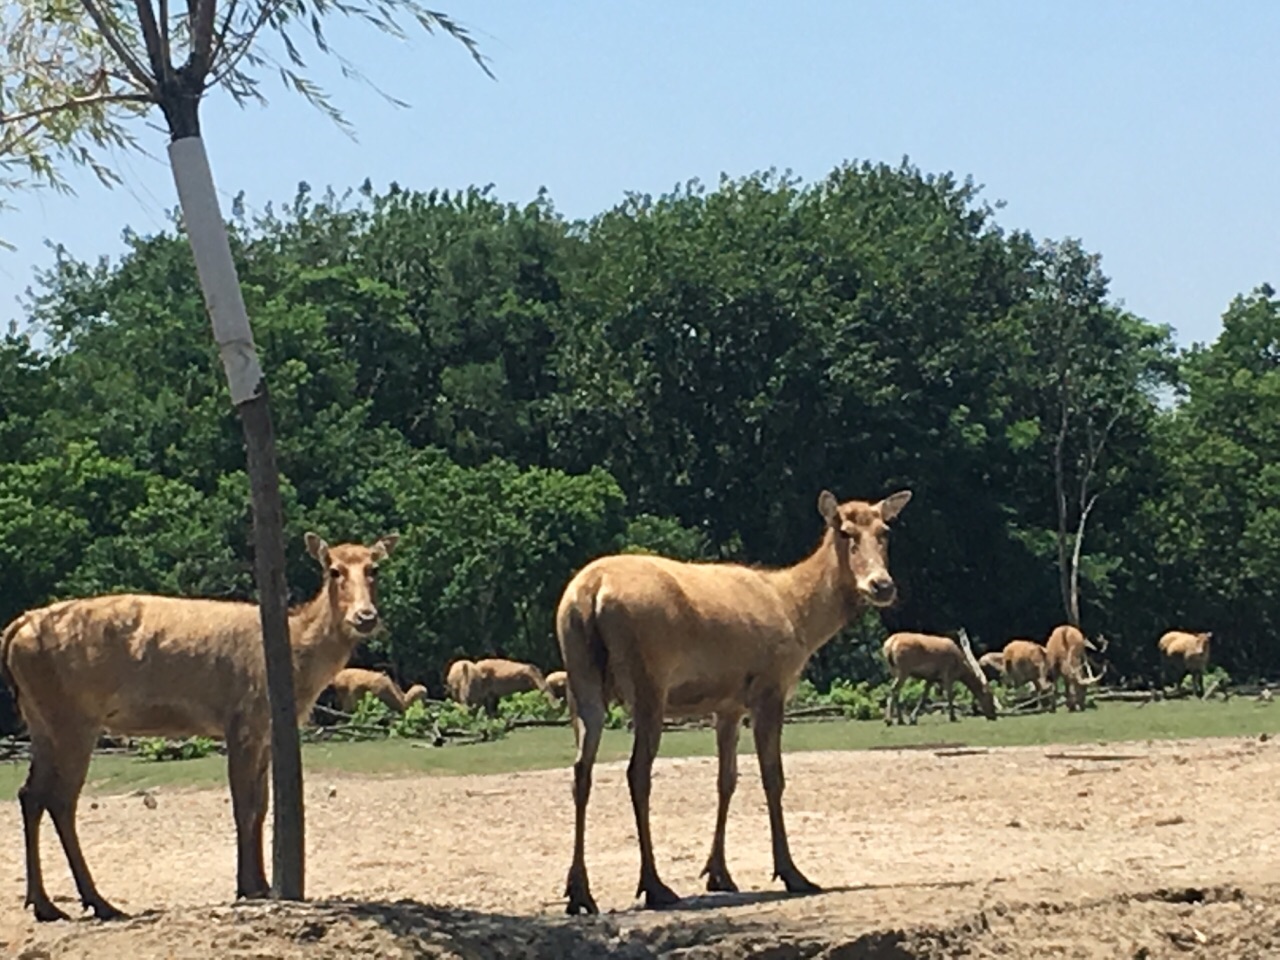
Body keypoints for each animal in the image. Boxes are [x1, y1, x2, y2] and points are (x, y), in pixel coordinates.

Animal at [0, 535, 396, 926]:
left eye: (374, 568)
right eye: (334, 569)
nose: (365, 617)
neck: (299, 663)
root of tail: (15, 629)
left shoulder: (265, 731)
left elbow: (262, 805)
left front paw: (263, 883)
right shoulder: (241, 718)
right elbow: (244, 805)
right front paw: (247, 886)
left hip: (39, 718)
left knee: (30, 793)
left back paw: (44, 904)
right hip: (73, 716)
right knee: (60, 798)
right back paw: (99, 902)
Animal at [558, 488, 911, 916]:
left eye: (885, 531)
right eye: (845, 532)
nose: (882, 585)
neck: (799, 617)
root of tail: (590, 592)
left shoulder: (727, 704)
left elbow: (726, 779)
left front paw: (718, 873)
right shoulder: (770, 686)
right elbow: (773, 777)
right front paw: (792, 873)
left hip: (580, 677)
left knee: (581, 770)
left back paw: (579, 892)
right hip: (649, 679)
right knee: (636, 772)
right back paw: (655, 886)